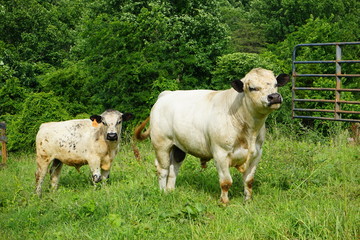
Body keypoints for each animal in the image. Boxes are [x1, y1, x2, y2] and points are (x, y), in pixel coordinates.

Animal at [134, 67, 290, 202]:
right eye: (252, 88)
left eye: (276, 84)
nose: (274, 97)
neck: (249, 130)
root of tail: (166, 94)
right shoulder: (220, 153)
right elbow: (226, 182)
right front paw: (224, 202)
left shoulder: (257, 153)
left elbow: (249, 181)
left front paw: (248, 201)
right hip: (162, 144)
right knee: (163, 169)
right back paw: (162, 192)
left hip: (178, 147)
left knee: (173, 169)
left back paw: (170, 191)